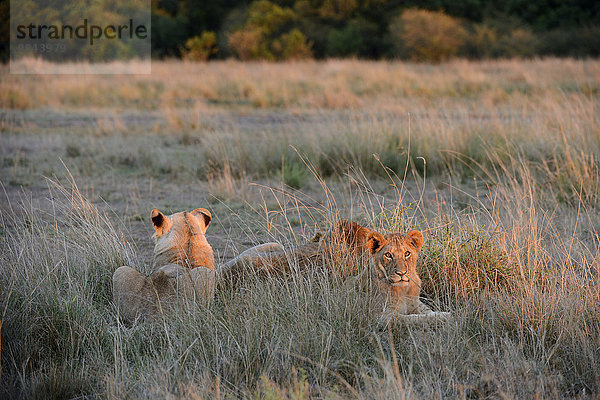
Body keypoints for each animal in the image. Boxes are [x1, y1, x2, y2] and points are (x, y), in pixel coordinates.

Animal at [223, 219, 452, 324]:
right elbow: (414, 319)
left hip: (275, 244)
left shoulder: (416, 302)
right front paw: (446, 317)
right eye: (388, 255)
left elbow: (425, 310)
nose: (402, 273)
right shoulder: (380, 317)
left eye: (407, 254)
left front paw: (444, 313)